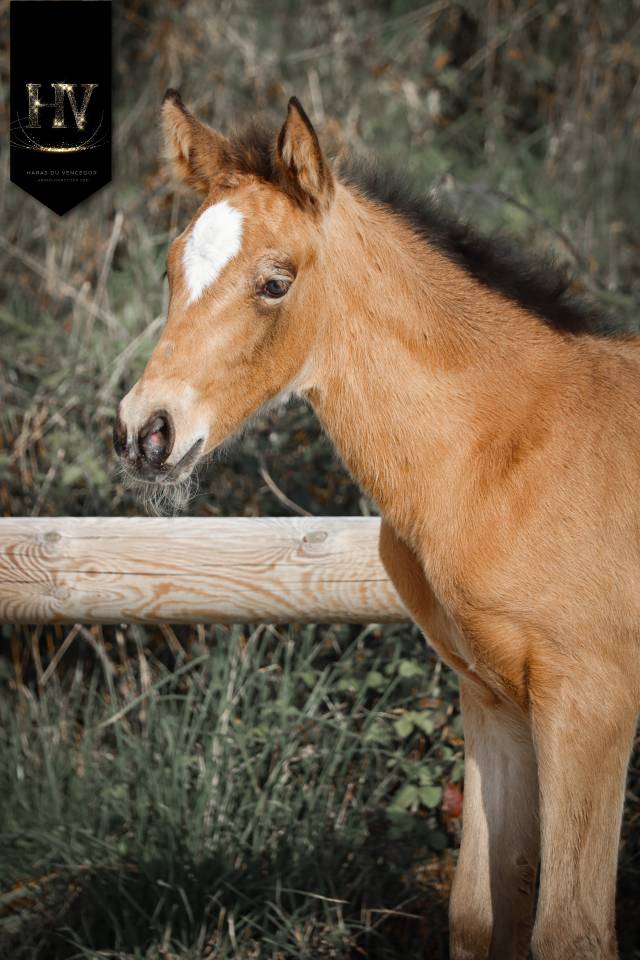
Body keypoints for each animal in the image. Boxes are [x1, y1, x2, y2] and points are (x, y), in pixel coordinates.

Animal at [114, 90, 640, 960]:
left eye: (275, 283)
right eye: (170, 268)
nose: (145, 433)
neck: (511, 450)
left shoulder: (592, 704)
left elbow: (570, 930)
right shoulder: (493, 699)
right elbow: (480, 912)